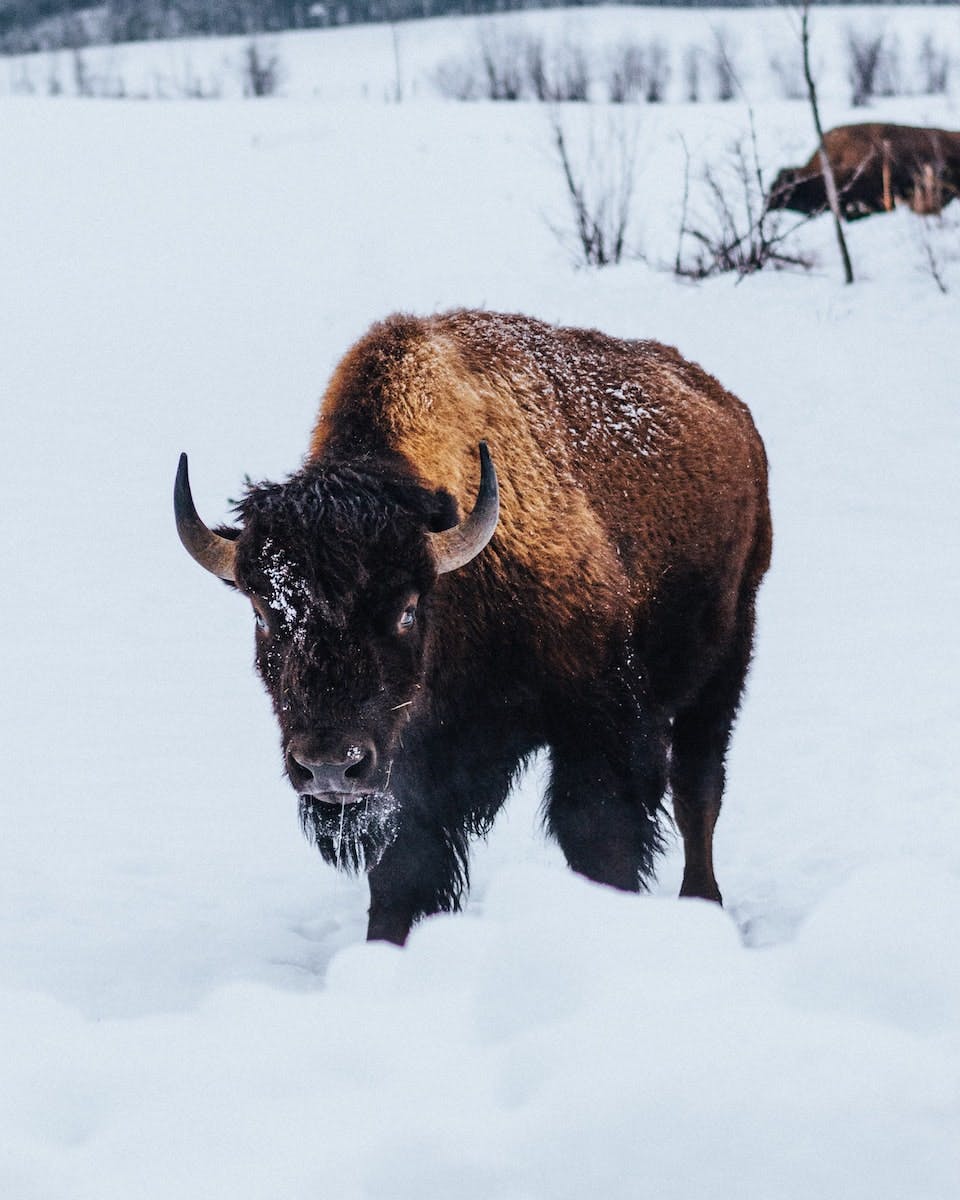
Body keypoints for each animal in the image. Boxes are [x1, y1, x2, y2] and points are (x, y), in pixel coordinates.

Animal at [174, 312, 772, 945]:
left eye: (408, 609)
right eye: (264, 613)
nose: (330, 765)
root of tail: (730, 409)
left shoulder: (598, 727)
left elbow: (600, 838)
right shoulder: (408, 769)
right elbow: (401, 874)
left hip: (729, 655)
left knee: (698, 789)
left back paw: (703, 902)